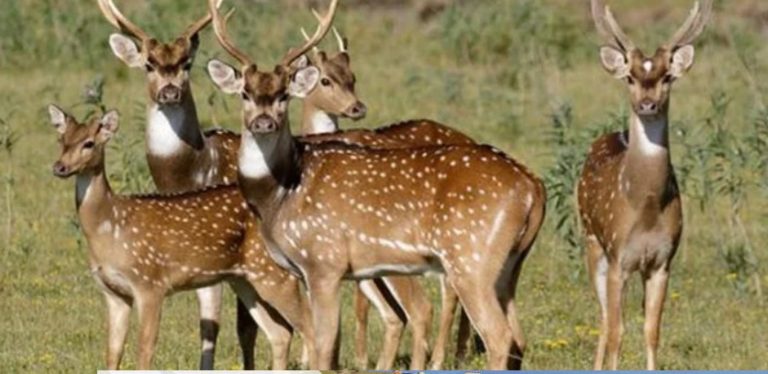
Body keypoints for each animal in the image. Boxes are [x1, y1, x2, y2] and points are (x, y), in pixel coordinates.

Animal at [48, 106, 318, 372]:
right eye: (62, 140)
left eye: (89, 143)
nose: (59, 167)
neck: (110, 226)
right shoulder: (112, 293)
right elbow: (112, 353)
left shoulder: (150, 283)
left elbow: (145, 351)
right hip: (245, 279)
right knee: (281, 332)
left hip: (274, 273)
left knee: (310, 327)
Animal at [204, 0, 544, 368]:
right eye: (245, 94)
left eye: (284, 96)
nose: (263, 122)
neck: (280, 196)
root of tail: (532, 186)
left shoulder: (323, 261)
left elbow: (324, 347)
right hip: (509, 266)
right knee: (519, 338)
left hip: (471, 258)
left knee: (498, 336)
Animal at [584, 0, 712, 370]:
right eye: (630, 77)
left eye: (667, 76)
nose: (647, 104)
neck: (646, 207)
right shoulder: (618, 258)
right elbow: (617, 331)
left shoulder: (662, 261)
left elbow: (651, 331)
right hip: (592, 242)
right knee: (603, 318)